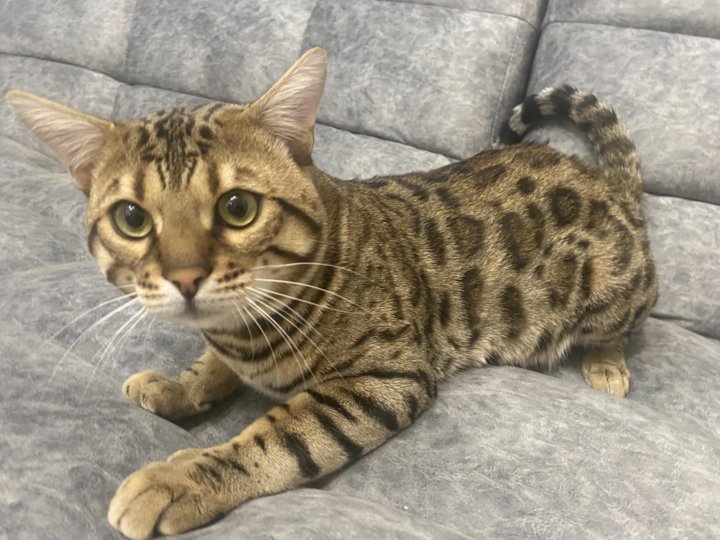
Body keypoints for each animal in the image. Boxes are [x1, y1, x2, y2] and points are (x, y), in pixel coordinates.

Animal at [6, 47, 657, 539]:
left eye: (237, 207)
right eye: (132, 218)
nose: (185, 277)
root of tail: (610, 186)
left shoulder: (383, 378)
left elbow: (278, 440)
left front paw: (181, 479)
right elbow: (209, 369)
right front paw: (176, 386)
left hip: (615, 286)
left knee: (623, 326)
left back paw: (606, 365)